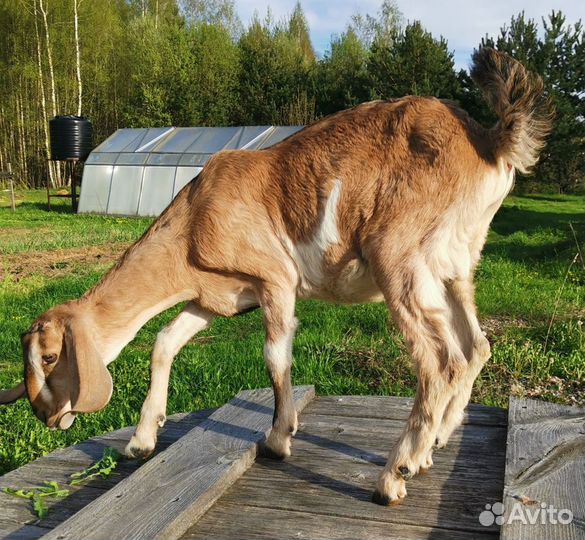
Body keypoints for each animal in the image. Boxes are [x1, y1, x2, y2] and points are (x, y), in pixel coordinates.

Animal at [1, 48, 548, 504]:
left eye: (50, 357)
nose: (46, 415)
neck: (194, 219)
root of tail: (488, 142)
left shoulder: (276, 280)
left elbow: (274, 358)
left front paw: (278, 440)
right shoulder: (216, 296)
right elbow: (165, 341)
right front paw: (141, 440)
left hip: (399, 255)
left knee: (439, 359)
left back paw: (397, 473)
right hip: (456, 266)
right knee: (475, 346)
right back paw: (435, 444)